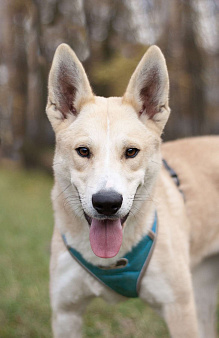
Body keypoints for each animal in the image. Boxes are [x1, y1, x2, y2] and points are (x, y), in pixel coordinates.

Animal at [46, 43, 219, 336]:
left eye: (131, 152)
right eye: (83, 151)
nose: (107, 203)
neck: (111, 261)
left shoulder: (180, 311)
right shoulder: (66, 313)